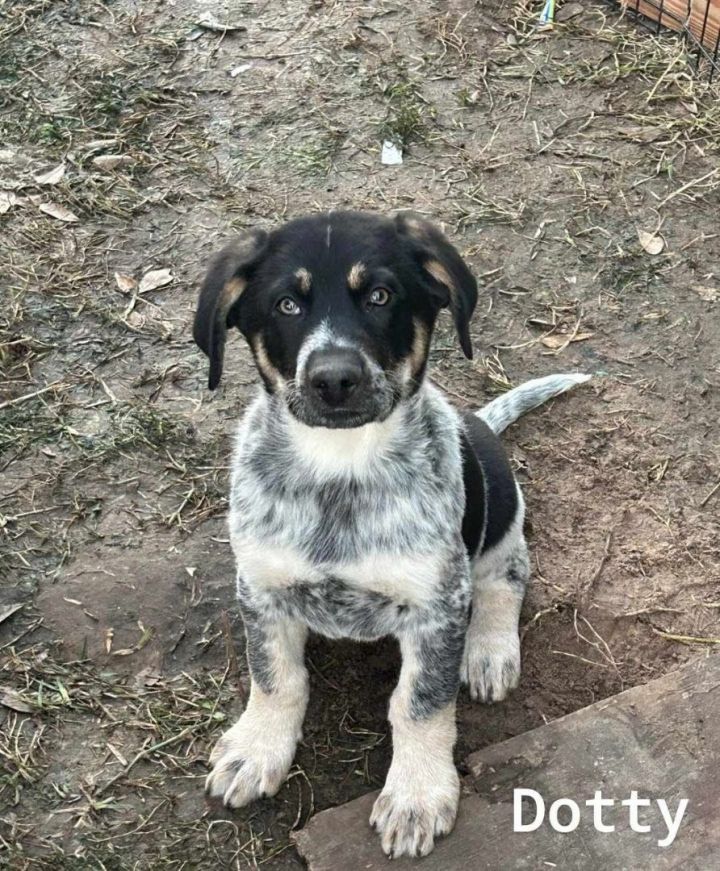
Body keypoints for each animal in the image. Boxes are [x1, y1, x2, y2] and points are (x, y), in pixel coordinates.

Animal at [194, 211, 588, 860]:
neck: (340, 470)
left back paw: (490, 650)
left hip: (499, 499)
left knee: (508, 574)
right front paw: (257, 748)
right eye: (285, 305)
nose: (334, 379)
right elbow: (274, 677)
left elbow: (420, 704)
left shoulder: (438, 604)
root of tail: (481, 421)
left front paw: (416, 795)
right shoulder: (260, 586)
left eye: (380, 296)